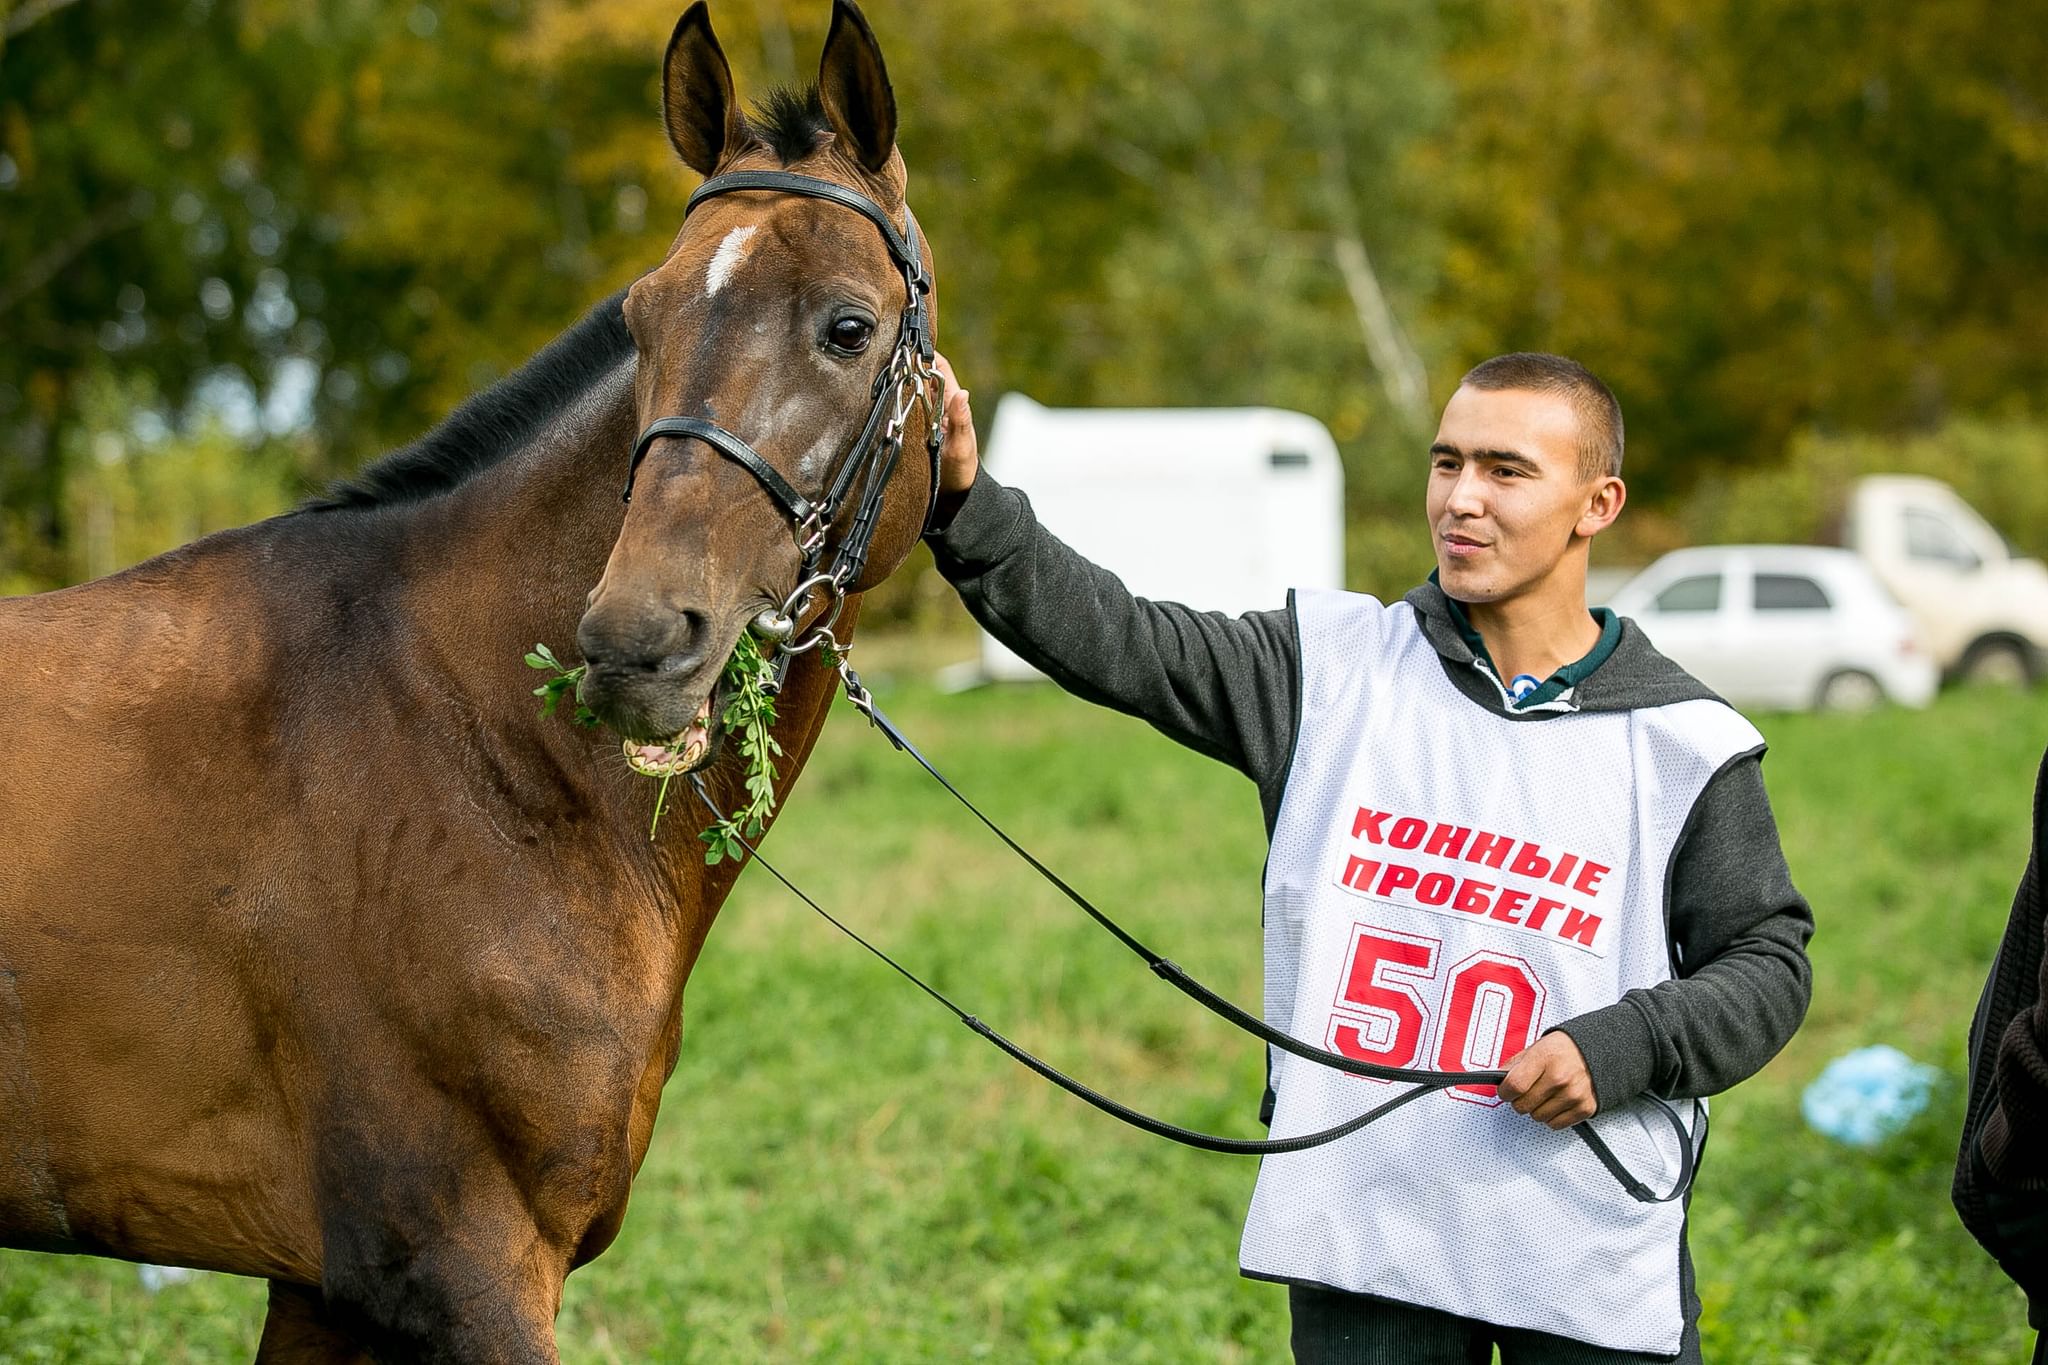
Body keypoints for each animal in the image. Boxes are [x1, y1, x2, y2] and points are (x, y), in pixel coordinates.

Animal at [0, 5, 937, 1358]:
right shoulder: (457, 1264)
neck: (465, 747)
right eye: (641, 320)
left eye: (849, 327)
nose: (633, 640)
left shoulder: (328, 1286)